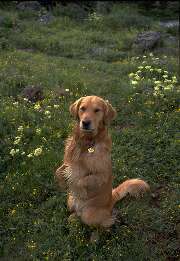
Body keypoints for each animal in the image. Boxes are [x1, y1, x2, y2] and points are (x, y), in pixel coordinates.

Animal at [54, 94, 149, 226]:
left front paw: (77, 188)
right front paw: (63, 182)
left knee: (102, 221)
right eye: (82, 108)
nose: (85, 123)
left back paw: (115, 218)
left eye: (97, 110)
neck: (87, 142)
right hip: (70, 201)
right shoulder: (68, 163)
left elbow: (80, 180)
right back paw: (73, 218)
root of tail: (111, 199)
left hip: (89, 214)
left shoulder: (101, 174)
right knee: (76, 213)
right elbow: (58, 171)